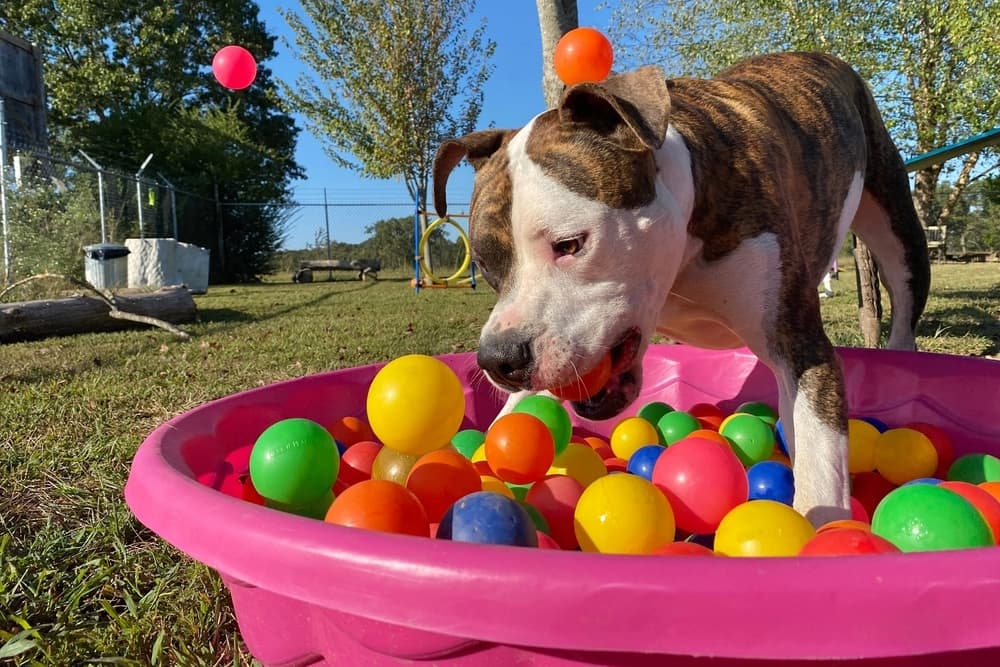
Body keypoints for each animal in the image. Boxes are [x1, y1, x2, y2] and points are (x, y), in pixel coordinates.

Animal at [434, 53, 932, 528]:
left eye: (570, 244)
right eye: (486, 265)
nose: (498, 359)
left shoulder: (800, 348)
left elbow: (820, 470)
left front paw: (821, 534)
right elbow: (518, 411)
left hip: (899, 228)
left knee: (903, 300)